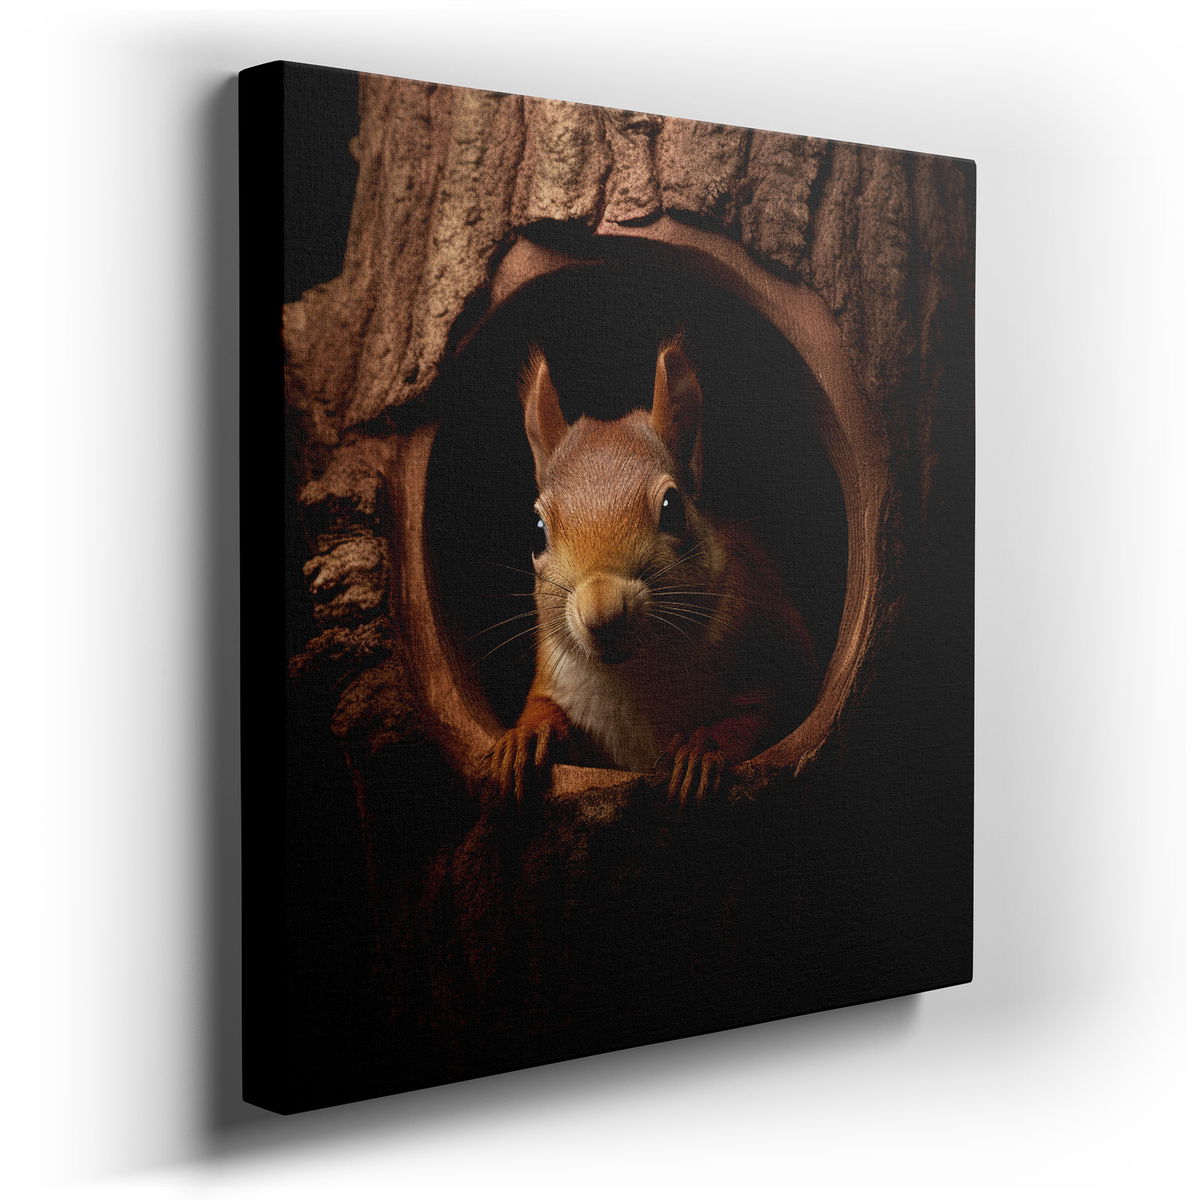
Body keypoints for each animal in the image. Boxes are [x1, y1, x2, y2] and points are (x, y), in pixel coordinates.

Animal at [485, 337, 819, 805]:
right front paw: (523, 738)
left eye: (673, 507)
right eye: (536, 530)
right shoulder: (553, 672)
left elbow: (761, 714)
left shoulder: (770, 647)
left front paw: (700, 750)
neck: (635, 672)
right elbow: (542, 709)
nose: (603, 612)